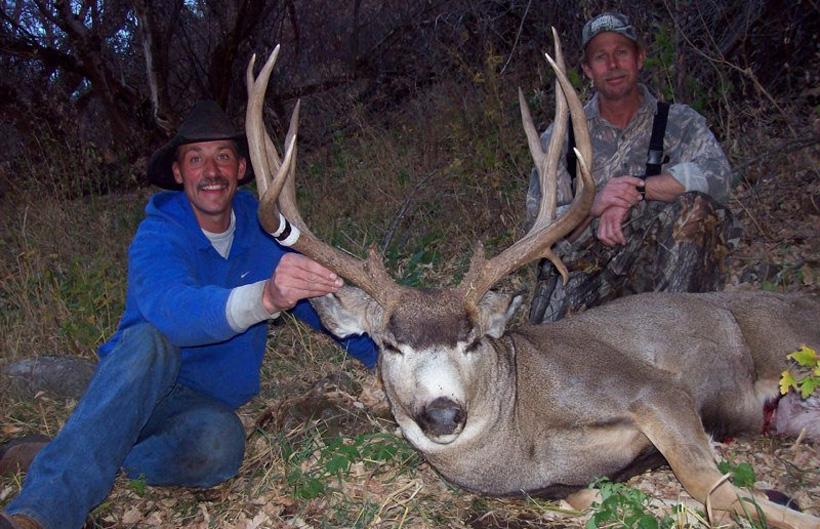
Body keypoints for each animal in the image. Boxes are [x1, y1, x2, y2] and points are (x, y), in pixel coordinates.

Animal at [244, 34, 820, 529]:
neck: (527, 434)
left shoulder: (651, 387)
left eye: (472, 340)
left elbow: (711, 486)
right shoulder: (564, 483)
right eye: (390, 344)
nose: (444, 413)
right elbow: (602, 497)